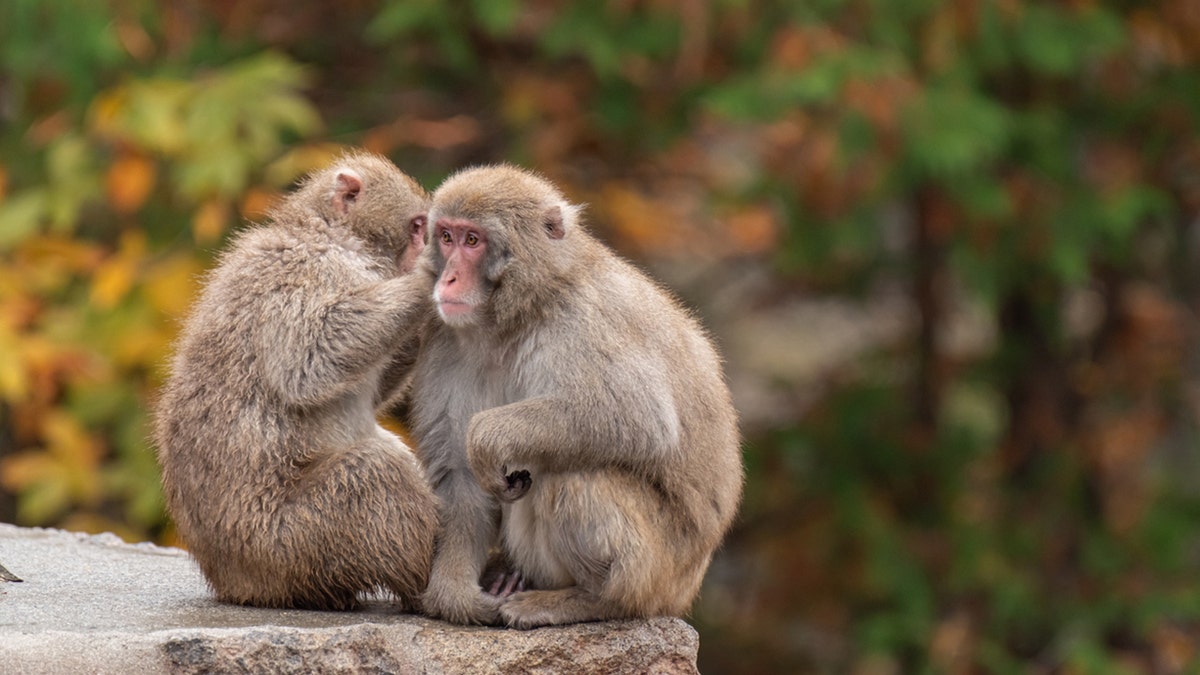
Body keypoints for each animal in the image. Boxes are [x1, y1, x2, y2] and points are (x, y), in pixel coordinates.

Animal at [157, 152, 439, 610]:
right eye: (416, 227)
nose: (422, 253)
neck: (331, 236)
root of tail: (236, 584)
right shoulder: (305, 272)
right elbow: (306, 363)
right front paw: (427, 282)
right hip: (290, 543)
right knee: (375, 470)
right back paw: (429, 588)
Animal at [408, 163, 739, 624]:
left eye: (472, 240)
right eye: (446, 236)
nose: (448, 277)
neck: (514, 317)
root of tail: (685, 588)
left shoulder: (582, 318)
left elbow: (639, 417)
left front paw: (487, 437)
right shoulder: (443, 341)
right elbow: (459, 476)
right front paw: (456, 594)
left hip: (657, 570)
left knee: (569, 471)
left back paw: (592, 599)